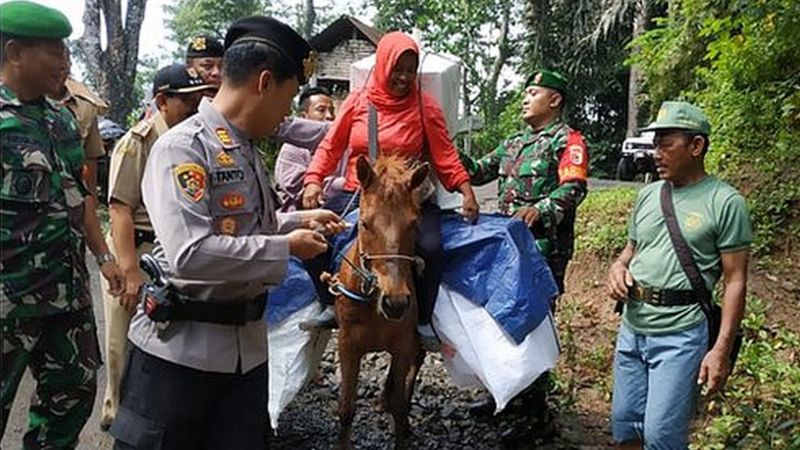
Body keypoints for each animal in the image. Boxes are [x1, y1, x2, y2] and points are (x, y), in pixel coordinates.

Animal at [328, 155, 432, 450]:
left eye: (414, 224)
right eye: (364, 223)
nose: (395, 302)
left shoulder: (403, 343)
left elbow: (399, 406)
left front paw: (401, 428)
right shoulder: (348, 345)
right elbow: (346, 408)